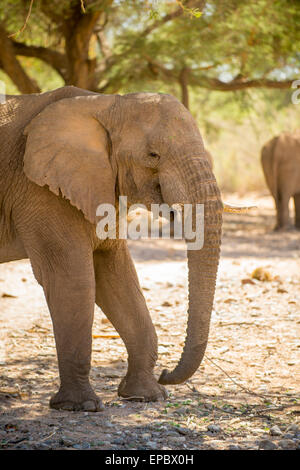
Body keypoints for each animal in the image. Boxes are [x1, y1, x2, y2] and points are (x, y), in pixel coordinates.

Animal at [0, 85, 223, 412]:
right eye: (153, 155)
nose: (167, 373)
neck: (106, 104)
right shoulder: (40, 190)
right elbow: (73, 279)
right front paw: (79, 406)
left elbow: (117, 276)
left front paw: (146, 395)